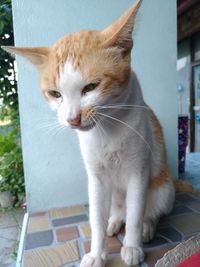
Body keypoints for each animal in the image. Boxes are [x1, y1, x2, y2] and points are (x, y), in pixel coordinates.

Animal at [1, 1, 175, 266]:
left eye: (91, 87)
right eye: (55, 94)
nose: (72, 118)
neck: (107, 131)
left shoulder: (138, 173)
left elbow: (135, 215)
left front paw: (132, 246)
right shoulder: (96, 179)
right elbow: (96, 220)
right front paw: (96, 253)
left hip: (164, 189)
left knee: (148, 211)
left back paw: (146, 227)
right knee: (117, 212)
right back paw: (114, 222)